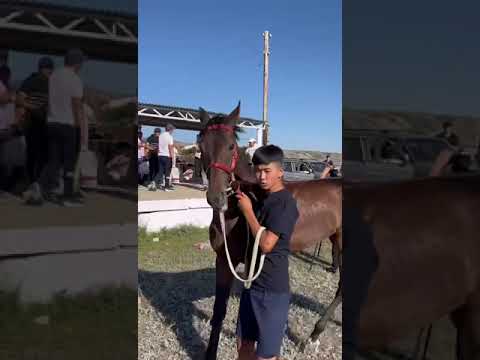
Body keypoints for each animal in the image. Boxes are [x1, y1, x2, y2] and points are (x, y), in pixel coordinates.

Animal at [197, 102, 344, 358]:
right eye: (202, 146)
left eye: (231, 146)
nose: (216, 198)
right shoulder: (224, 260)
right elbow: (218, 311)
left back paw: (314, 335)